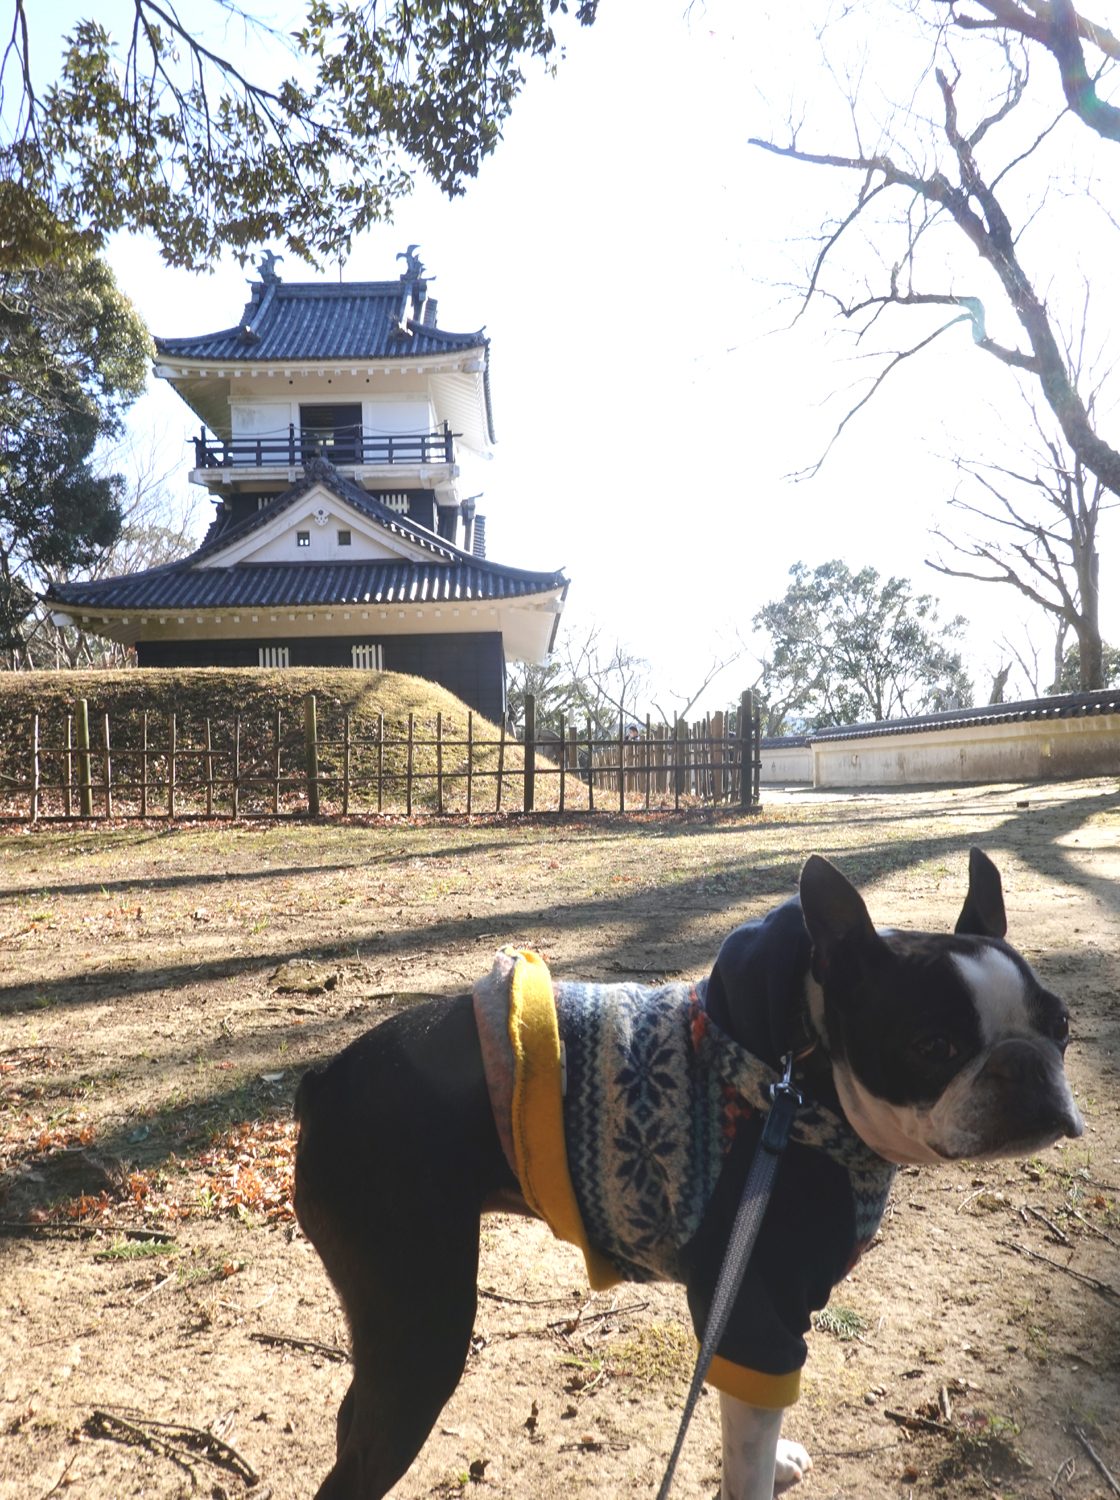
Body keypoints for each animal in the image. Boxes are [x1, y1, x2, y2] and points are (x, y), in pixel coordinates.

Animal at [293, 852, 1079, 1500]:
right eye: (932, 1046)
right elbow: (748, 1451)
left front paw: (777, 1457)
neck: (804, 1075)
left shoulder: (753, 1315)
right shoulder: (758, 1304)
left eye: (1062, 1026)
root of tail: (324, 1079)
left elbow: (748, 1422)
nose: (1024, 1063)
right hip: (422, 1322)